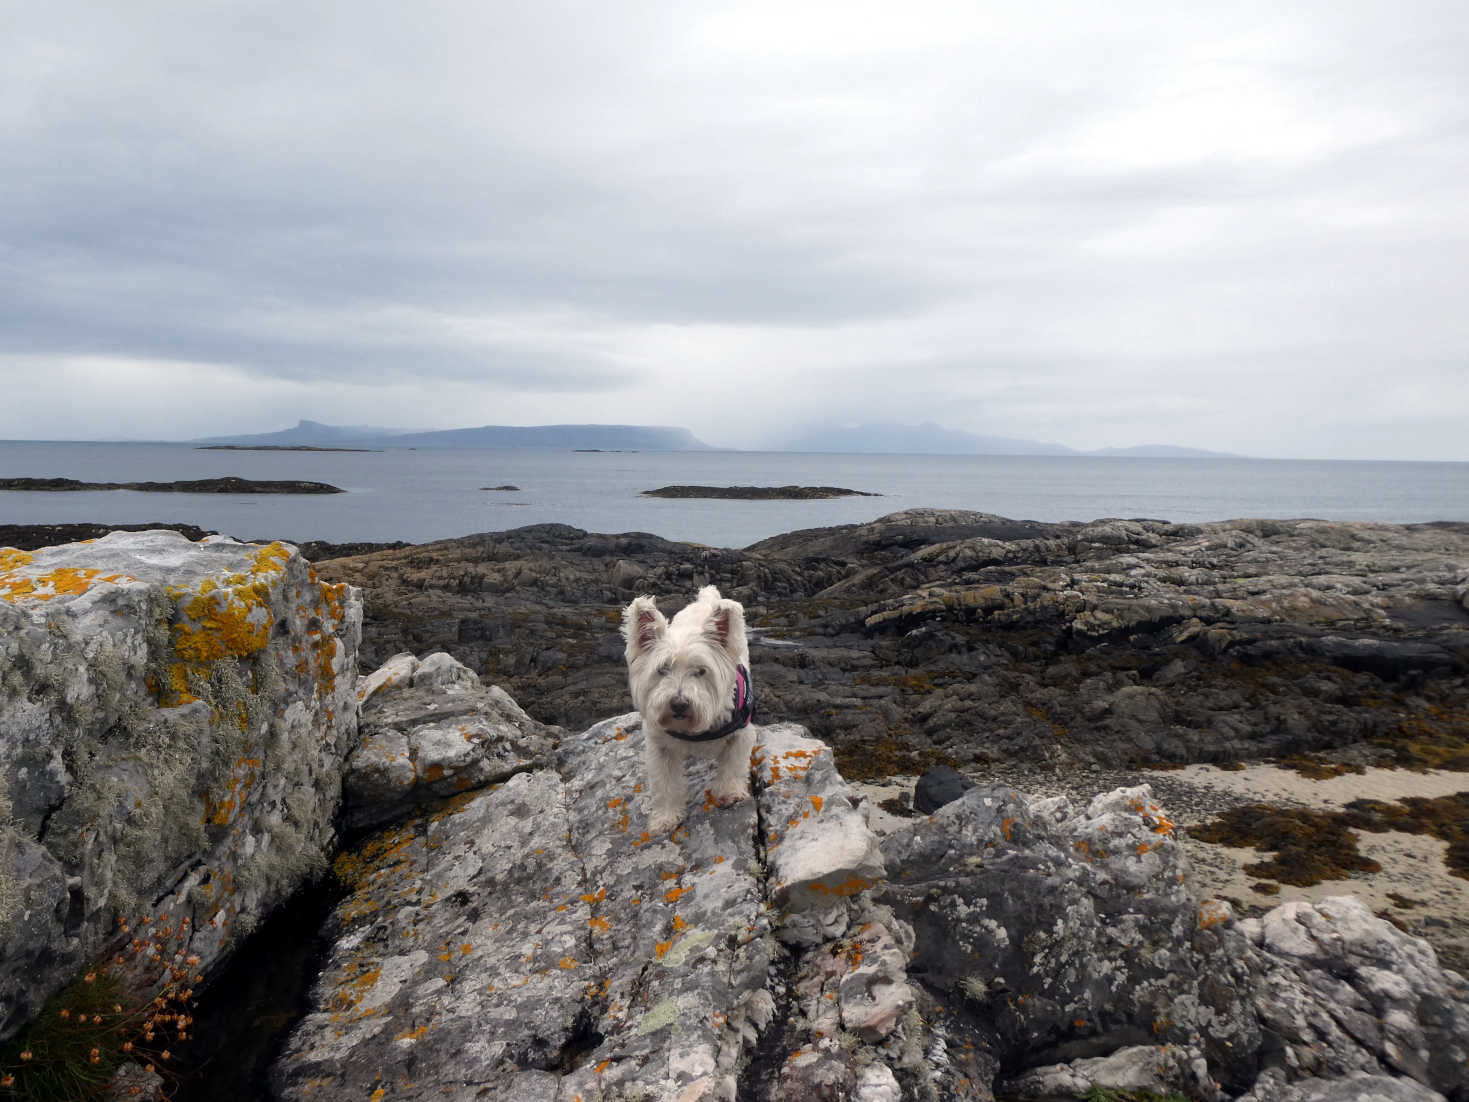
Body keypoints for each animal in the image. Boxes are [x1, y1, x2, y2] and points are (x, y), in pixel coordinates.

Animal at [619, 587, 758, 834]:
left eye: (701, 671)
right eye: (662, 669)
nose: (679, 704)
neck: (693, 730)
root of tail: (706, 599)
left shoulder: (741, 734)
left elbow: (733, 765)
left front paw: (730, 792)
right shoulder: (660, 748)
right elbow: (664, 784)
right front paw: (665, 818)